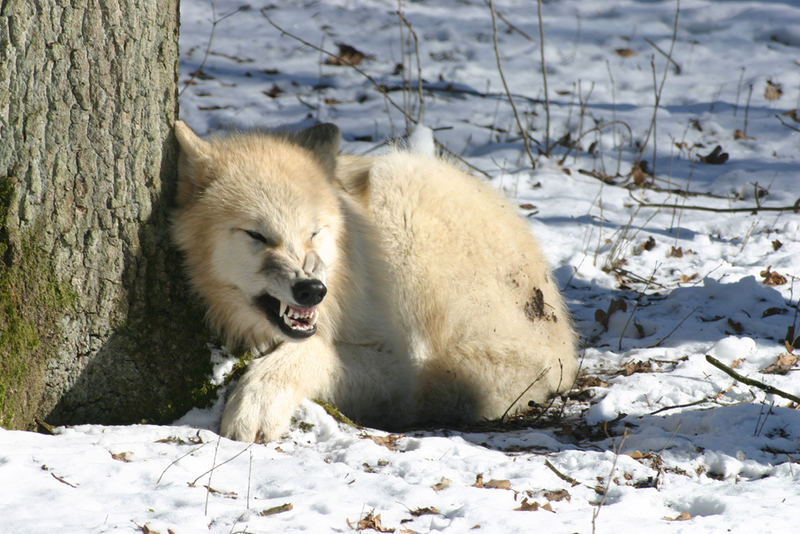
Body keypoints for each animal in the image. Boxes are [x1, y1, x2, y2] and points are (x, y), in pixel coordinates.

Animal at [173, 121, 576, 444]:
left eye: (314, 233)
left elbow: (314, 351)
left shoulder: (395, 362)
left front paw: (255, 404)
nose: (312, 290)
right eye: (257, 235)